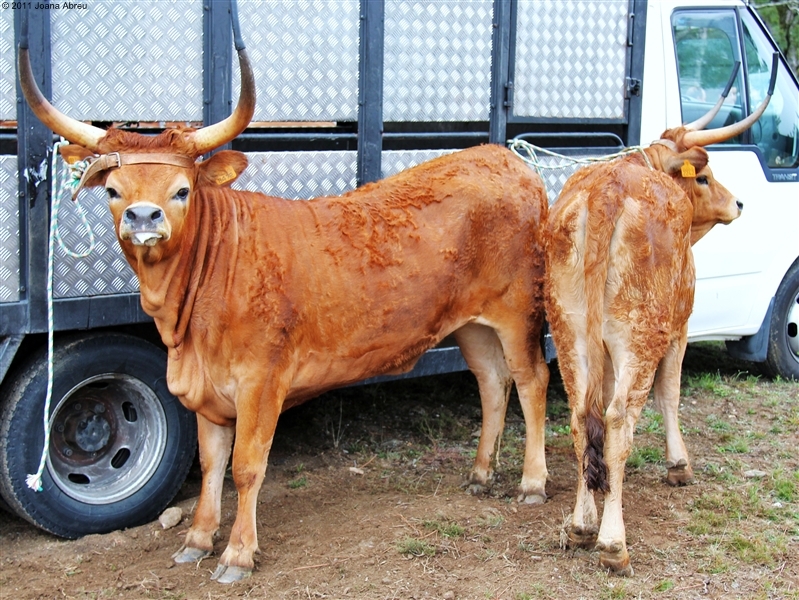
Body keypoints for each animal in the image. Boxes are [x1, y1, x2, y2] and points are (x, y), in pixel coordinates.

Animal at [20, 44, 556, 580]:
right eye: (113, 190)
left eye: (181, 190)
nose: (143, 218)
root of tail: (501, 157)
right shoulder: (206, 388)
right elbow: (211, 464)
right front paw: (197, 538)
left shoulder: (262, 381)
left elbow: (245, 466)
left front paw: (238, 554)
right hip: (472, 324)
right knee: (491, 382)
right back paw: (481, 474)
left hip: (519, 311)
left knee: (531, 380)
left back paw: (532, 483)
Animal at [548, 101, 772, 576]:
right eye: (703, 177)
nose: (739, 202)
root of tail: (608, 190)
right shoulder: (679, 329)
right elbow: (670, 394)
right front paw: (678, 465)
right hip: (641, 335)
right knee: (618, 420)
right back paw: (613, 543)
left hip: (570, 333)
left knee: (583, 415)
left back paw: (581, 525)